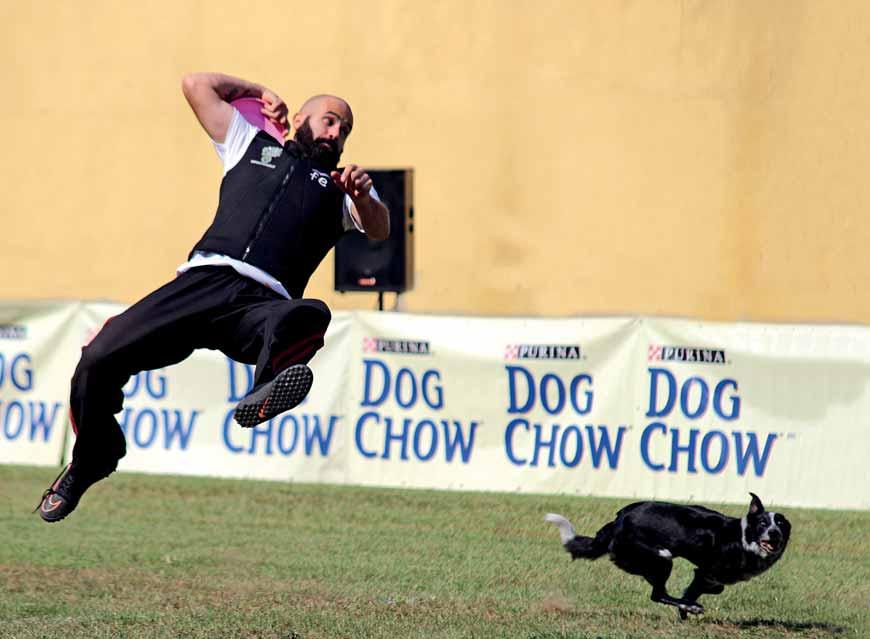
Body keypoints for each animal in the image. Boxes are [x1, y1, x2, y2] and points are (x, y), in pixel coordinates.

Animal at [548, 496, 792, 620]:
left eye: (780, 524)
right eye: (763, 523)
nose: (774, 533)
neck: (743, 538)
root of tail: (617, 520)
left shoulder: (706, 575)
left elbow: (705, 589)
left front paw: (685, 611)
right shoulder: (706, 571)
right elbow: (708, 588)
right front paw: (688, 608)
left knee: (659, 593)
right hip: (661, 557)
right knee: (657, 594)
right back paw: (692, 607)